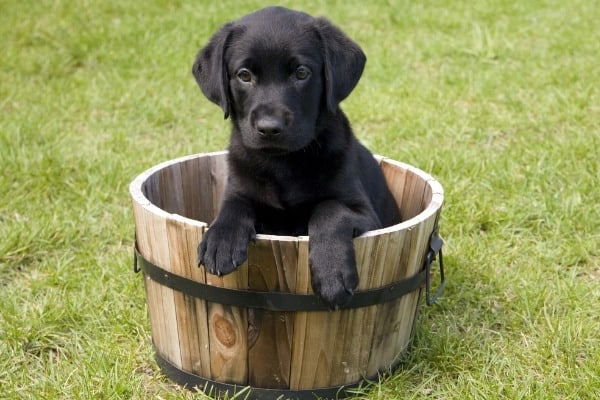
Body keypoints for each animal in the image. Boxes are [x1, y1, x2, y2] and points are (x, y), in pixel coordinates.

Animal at [193, 5, 398, 306]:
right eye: (244, 75)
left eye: (301, 73)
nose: (269, 128)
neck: (282, 164)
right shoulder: (239, 188)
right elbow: (234, 206)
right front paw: (221, 241)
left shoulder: (366, 214)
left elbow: (330, 209)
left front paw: (332, 272)